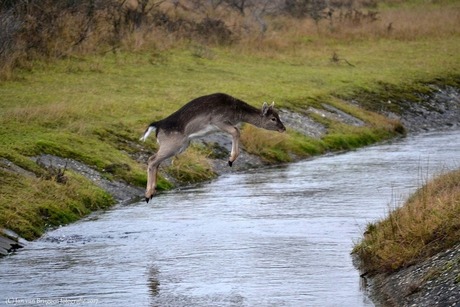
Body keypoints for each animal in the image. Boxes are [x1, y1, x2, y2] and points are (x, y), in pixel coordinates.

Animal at [138, 92, 286, 202]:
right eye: (273, 118)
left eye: (278, 115)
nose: (283, 128)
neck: (236, 113)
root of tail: (157, 126)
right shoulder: (217, 120)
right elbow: (236, 131)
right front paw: (230, 160)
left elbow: (236, 131)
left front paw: (231, 159)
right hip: (173, 143)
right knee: (152, 159)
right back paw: (147, 194)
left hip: (182, 145)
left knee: (156, 161)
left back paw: (151, 193)